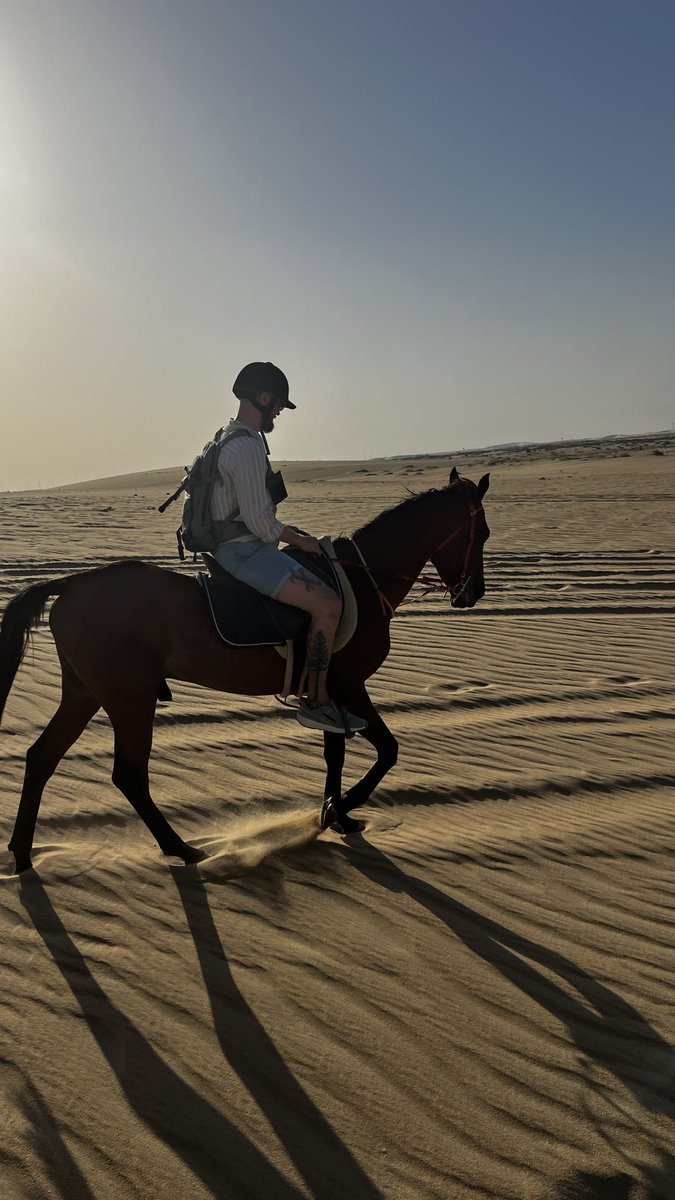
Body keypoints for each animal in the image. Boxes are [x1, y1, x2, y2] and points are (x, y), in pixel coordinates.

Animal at [0, 467, 489, 873]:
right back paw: (179, 848)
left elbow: (336, 753)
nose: (472, 595)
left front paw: (336, 812)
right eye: (482, 533)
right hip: (129, 697)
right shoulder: (349, 685)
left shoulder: (330, 693)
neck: (362, 582)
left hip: (85, 693)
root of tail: (72, 584)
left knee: (42, 757)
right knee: (129, 774)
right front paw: (342, 808)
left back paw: (22, 853)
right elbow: (387, 749)